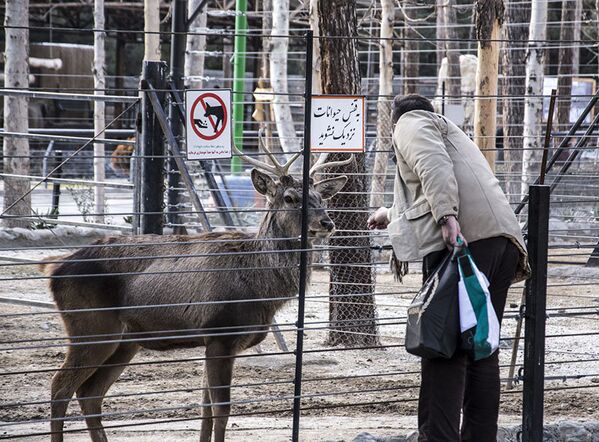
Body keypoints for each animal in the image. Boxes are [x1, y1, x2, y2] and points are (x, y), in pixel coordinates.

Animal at [41, 140, 352, 440]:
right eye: (289, 198)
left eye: (321, 198)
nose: (327, 223)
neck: (263, 289)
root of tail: (54, 270)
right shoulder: (221, 334)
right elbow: (222, 409)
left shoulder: (214, 341)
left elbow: (205, 408)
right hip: (91, 328)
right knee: (60, 386)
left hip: (125, 341)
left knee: (90, 393)